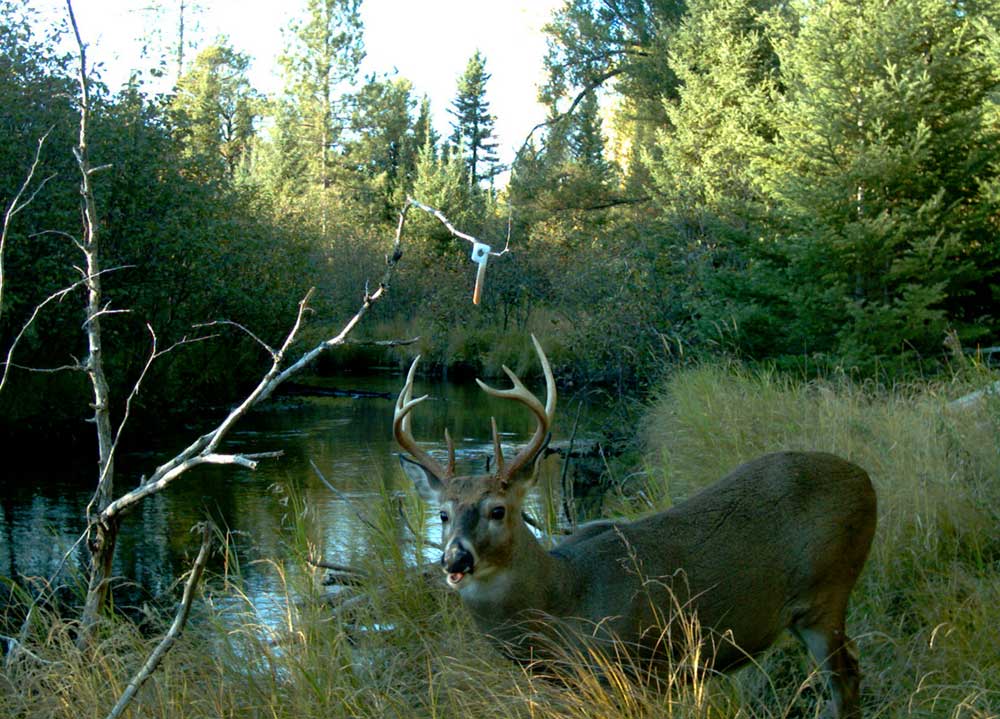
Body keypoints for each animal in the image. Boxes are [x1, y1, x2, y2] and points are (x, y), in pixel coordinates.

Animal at [390, 338, 876, 719]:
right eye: (443, 514)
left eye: (497, 510)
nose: (455, 558)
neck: (564, 596)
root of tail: (867, 481)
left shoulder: (640, 666)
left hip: (829, 592)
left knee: (848, 676)